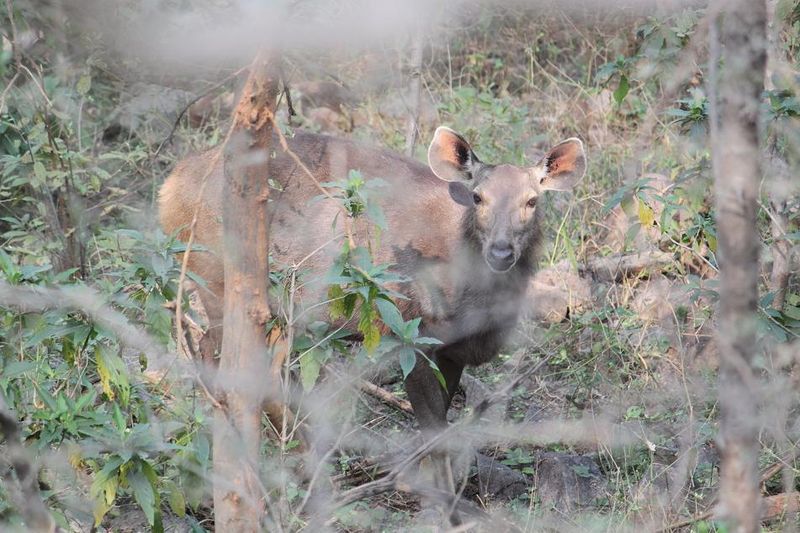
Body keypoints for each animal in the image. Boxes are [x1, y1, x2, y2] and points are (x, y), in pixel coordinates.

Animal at [159, 123, 588, 498]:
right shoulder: (410, 334)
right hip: (218, 278)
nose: (501, 252)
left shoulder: (452, 352)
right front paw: (445, 503)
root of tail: (169, 188)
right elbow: (434, 430)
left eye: (532, 200)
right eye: (478, 197)